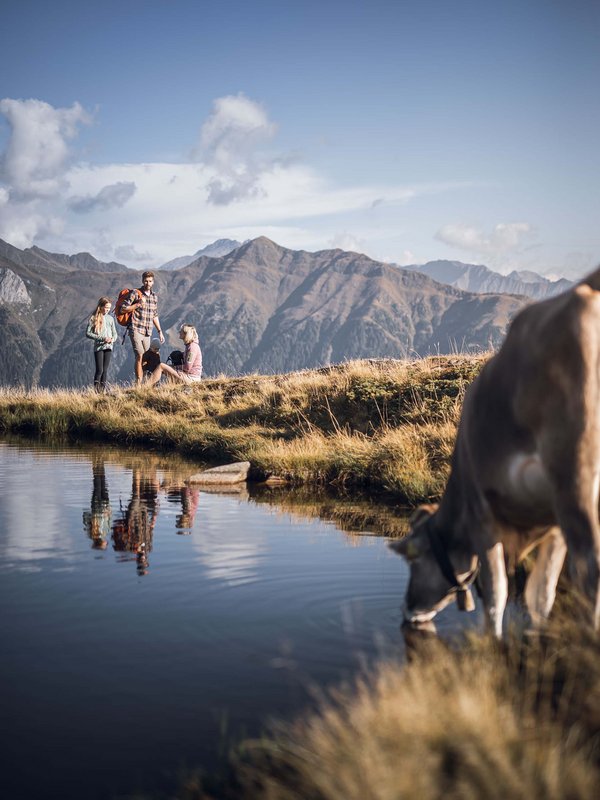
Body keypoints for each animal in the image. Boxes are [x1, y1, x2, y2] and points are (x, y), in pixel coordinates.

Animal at [390, 270, 600, 636]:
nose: (408, 611)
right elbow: (540, 595)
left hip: (575, 472)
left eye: (413, 560)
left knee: (591, 569)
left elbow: (497, 594)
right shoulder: (553, 527)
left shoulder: (483, 517)